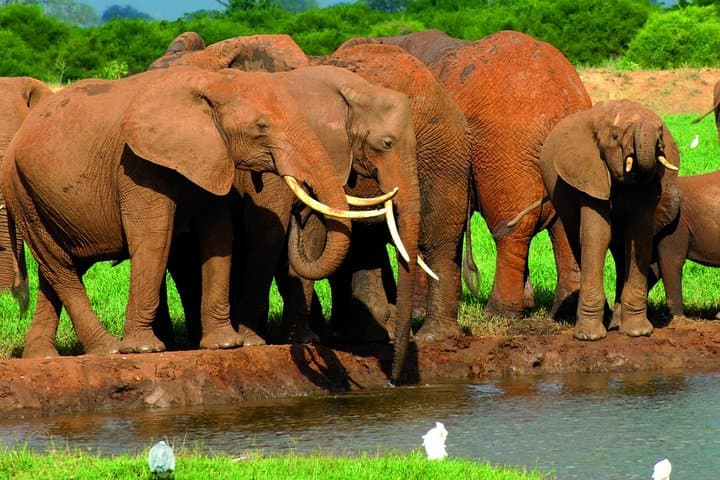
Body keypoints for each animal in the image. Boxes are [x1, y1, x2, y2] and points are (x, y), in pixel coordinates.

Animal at [0, 66, 367, 358]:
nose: (297, 216)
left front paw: (224, 345)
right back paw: (109, 350)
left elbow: (219, 236)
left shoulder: (211, 154)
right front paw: (145, 349)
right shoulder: (138, 163)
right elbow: (154, 237)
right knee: (60, 267)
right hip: (22, 192)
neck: (211, 84)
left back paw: (42, 357)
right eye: (261, 126)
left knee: (60, 269)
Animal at [339, 29, 591, 321]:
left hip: (506, 148)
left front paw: (417, 314)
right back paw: (561, 313)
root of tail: (564, 102)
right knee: (563, 225)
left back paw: (499, 314)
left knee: (511, 228)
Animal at [536, 100, 681, 340]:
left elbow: (639, 236)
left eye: (661, 132)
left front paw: (638, 332)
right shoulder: (590, 173)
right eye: (615, 136)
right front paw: (590, 337)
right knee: (579, 240)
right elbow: (597, 235)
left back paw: (617, 324)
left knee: (622, 250)